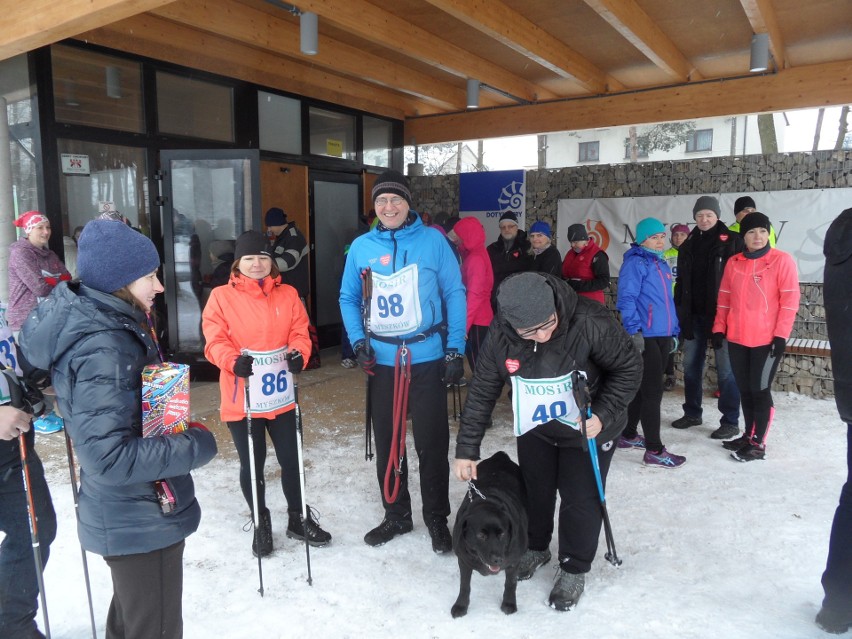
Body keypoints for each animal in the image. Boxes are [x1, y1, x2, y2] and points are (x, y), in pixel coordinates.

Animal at [452, 452, 524, 616]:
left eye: (502, 534)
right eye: (481, 535)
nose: (498, 559)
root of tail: (500, 456)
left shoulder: (513, 561)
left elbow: (511, 583)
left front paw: (509, 603)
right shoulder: (463, 560)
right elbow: (464, 586)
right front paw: (461, 605)